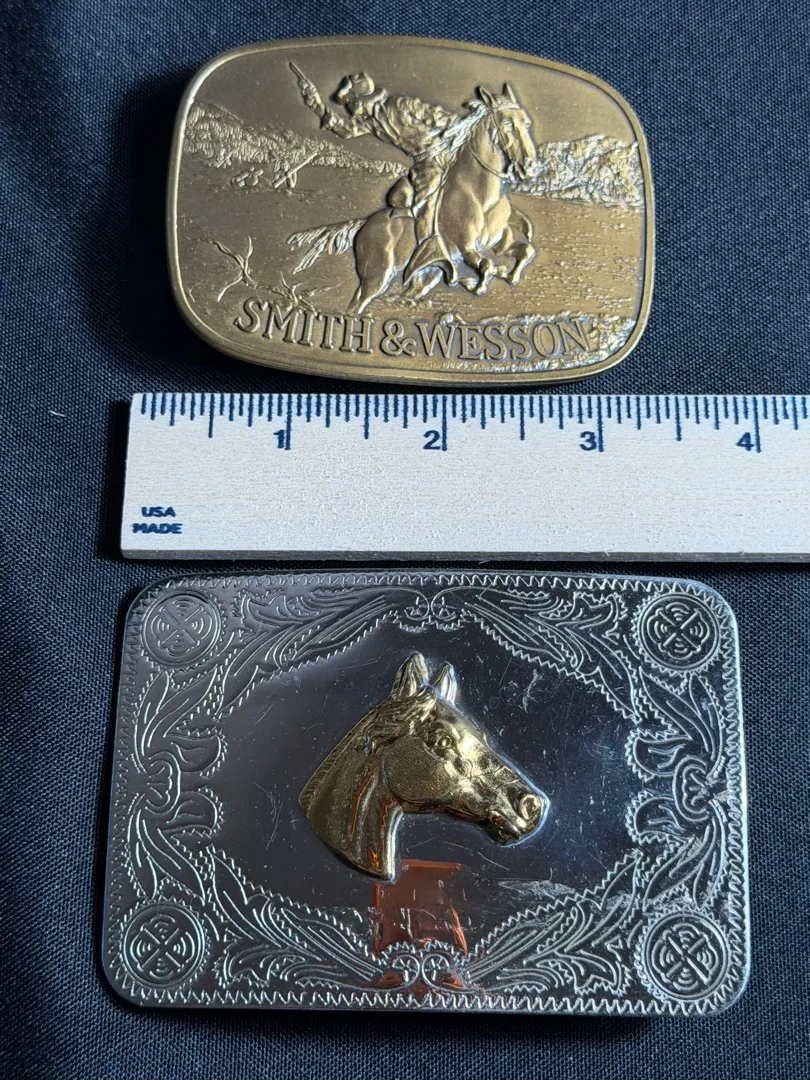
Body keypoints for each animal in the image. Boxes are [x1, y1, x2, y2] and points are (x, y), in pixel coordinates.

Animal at [287, 85, 537, 316]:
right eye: (507, 124)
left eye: (526, 123)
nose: (531, 166)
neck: (481, 197)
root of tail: (364, 225)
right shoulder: (466, 249)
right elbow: (486, 266)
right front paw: (474, 282)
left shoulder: (499, 244)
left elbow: (525, 252)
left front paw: (507, 276)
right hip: (378, 274)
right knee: (358, 302)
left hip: (425, 274)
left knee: (411, 289)